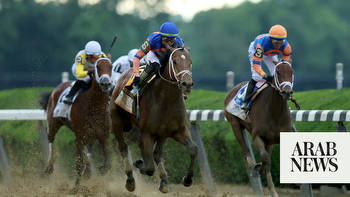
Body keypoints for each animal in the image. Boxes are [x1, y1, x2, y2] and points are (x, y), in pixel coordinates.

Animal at [39, 57, 113, 188]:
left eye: (111, 66)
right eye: (97, 67)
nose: (106, 83)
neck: (95, 107)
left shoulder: (104, 136)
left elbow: (108, 162)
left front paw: (101, 169)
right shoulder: (80, 136)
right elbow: (79, 164)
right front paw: (76, 187)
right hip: (53, 123)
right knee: (50, 139)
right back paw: (50, 166)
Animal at [110, 47, 197, 192]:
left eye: (190, 62)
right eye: (174, 61)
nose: (187, 84)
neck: (167, 100)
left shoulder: (176, 131)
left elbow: (193, 149)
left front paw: (187, 179)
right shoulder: (148, 133)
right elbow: (150, 167)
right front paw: (140, 165)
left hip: (155, 133)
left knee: (156, 154)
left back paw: (164, 180)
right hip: (117, 121)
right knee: (123, 148)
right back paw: (130, 180)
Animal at [224, 60, 292, 196]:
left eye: (291, 72)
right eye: (278, 72)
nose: (287, 92)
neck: (275, 111)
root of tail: (233, 90)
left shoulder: (277, 138)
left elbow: (268, 160)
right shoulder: (257, 137)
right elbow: (265, 158)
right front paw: (257, 168)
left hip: (269, 141)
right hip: (234, 124)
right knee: (245, 149)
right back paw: (253, 167)